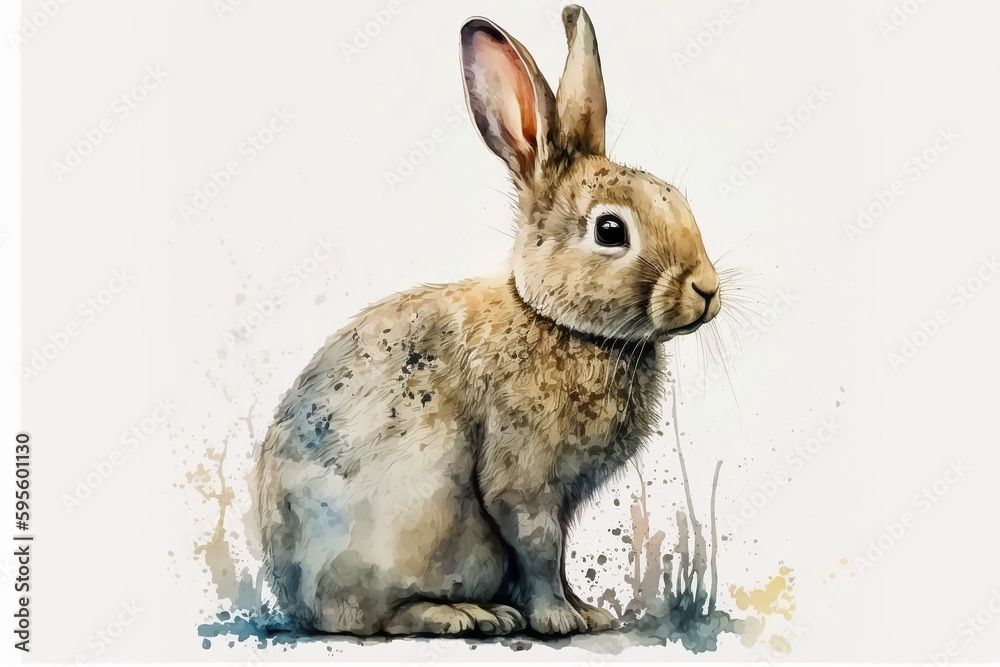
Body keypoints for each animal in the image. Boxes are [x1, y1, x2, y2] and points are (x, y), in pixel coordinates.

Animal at [254, 5, 721, 637]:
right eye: (610, 231)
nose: (708, 290)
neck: (557, 322)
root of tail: (295, 600)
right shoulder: (523, 483)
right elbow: (539, 548)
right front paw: (557, 621)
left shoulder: (563, 500)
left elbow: (558, 555)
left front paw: (588, 613)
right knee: (378, 618)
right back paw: (465, 615)